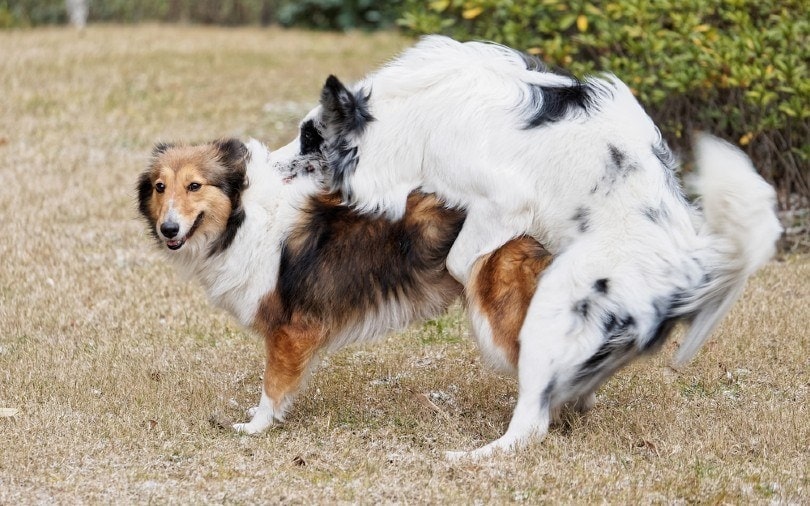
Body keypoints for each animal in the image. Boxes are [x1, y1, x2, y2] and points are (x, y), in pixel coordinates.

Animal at [139, 137, 552, 434]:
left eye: (195, 185)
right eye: (160, 187)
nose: (168, 229)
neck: (241, 217)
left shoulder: (291, 330)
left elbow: (273, 384)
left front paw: (256, 426)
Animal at [294, 33, 780, 456]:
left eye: (309, 141)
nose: (277, 164)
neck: (411, 118)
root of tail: (692, 267)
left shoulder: (504, 199)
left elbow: (460, 260)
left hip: (560, 299)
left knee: (530, 425)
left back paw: (468, 455)